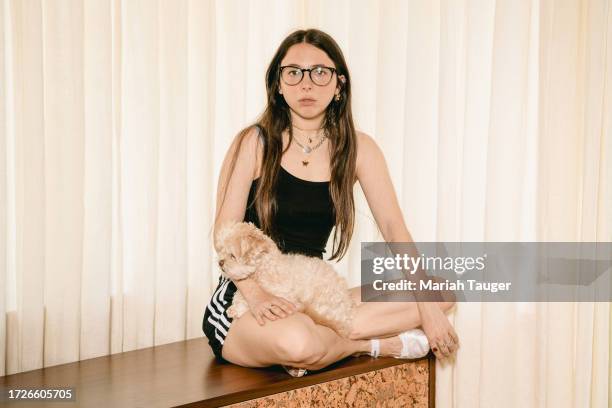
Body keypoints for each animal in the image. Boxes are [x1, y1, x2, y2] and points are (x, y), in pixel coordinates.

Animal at [216, 222, 356, 336]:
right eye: (222, 250)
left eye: (232, 255)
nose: (220, 262)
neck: (264, 268)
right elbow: (241, 295)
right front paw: (236, 307)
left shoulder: (284, 296)